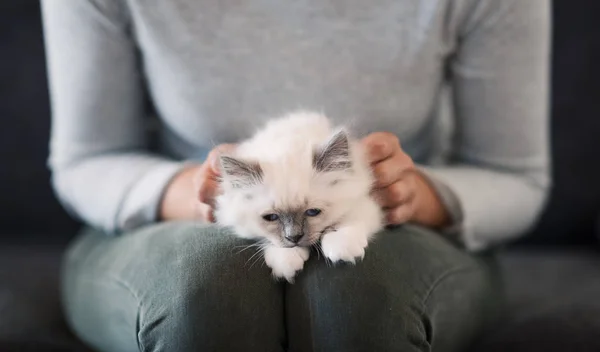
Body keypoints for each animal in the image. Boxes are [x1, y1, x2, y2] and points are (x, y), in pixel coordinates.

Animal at [216, 111, 382, 282]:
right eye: (271, 217)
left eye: (313, 212)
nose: (294, 237)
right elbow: (268, 240)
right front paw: (286, 260)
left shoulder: (362, 201)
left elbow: (347, 220)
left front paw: (342, 247)